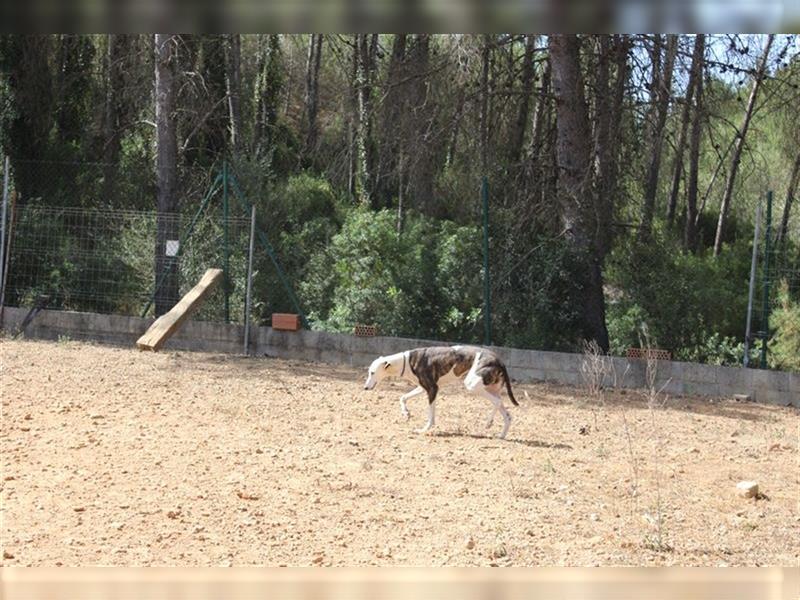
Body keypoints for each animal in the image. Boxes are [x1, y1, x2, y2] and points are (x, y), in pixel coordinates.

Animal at [362, 344, 520, 438]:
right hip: (490, 387)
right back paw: (500, 434)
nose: (365, 387)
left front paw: (424, 429)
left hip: (472, 385)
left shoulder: (432, 389)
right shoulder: (423, 387)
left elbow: (431, 416)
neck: (406, 361)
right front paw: (406, 413)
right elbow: (403, 397)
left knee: (498, 401)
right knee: (506, 413)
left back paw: (489, 422)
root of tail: (499, 360)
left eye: (372, 372)